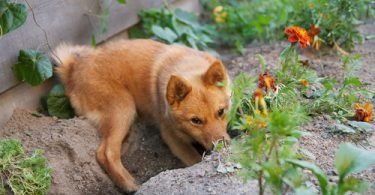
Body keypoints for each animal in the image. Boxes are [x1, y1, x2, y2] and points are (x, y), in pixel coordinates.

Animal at [53, 39, 231, 192]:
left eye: (221, 112)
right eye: (195, 120)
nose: (223, 146)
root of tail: (73, 68)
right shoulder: (171, 136)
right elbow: (195, 160)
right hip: (123, 108)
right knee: (106, 153)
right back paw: (129, 184)